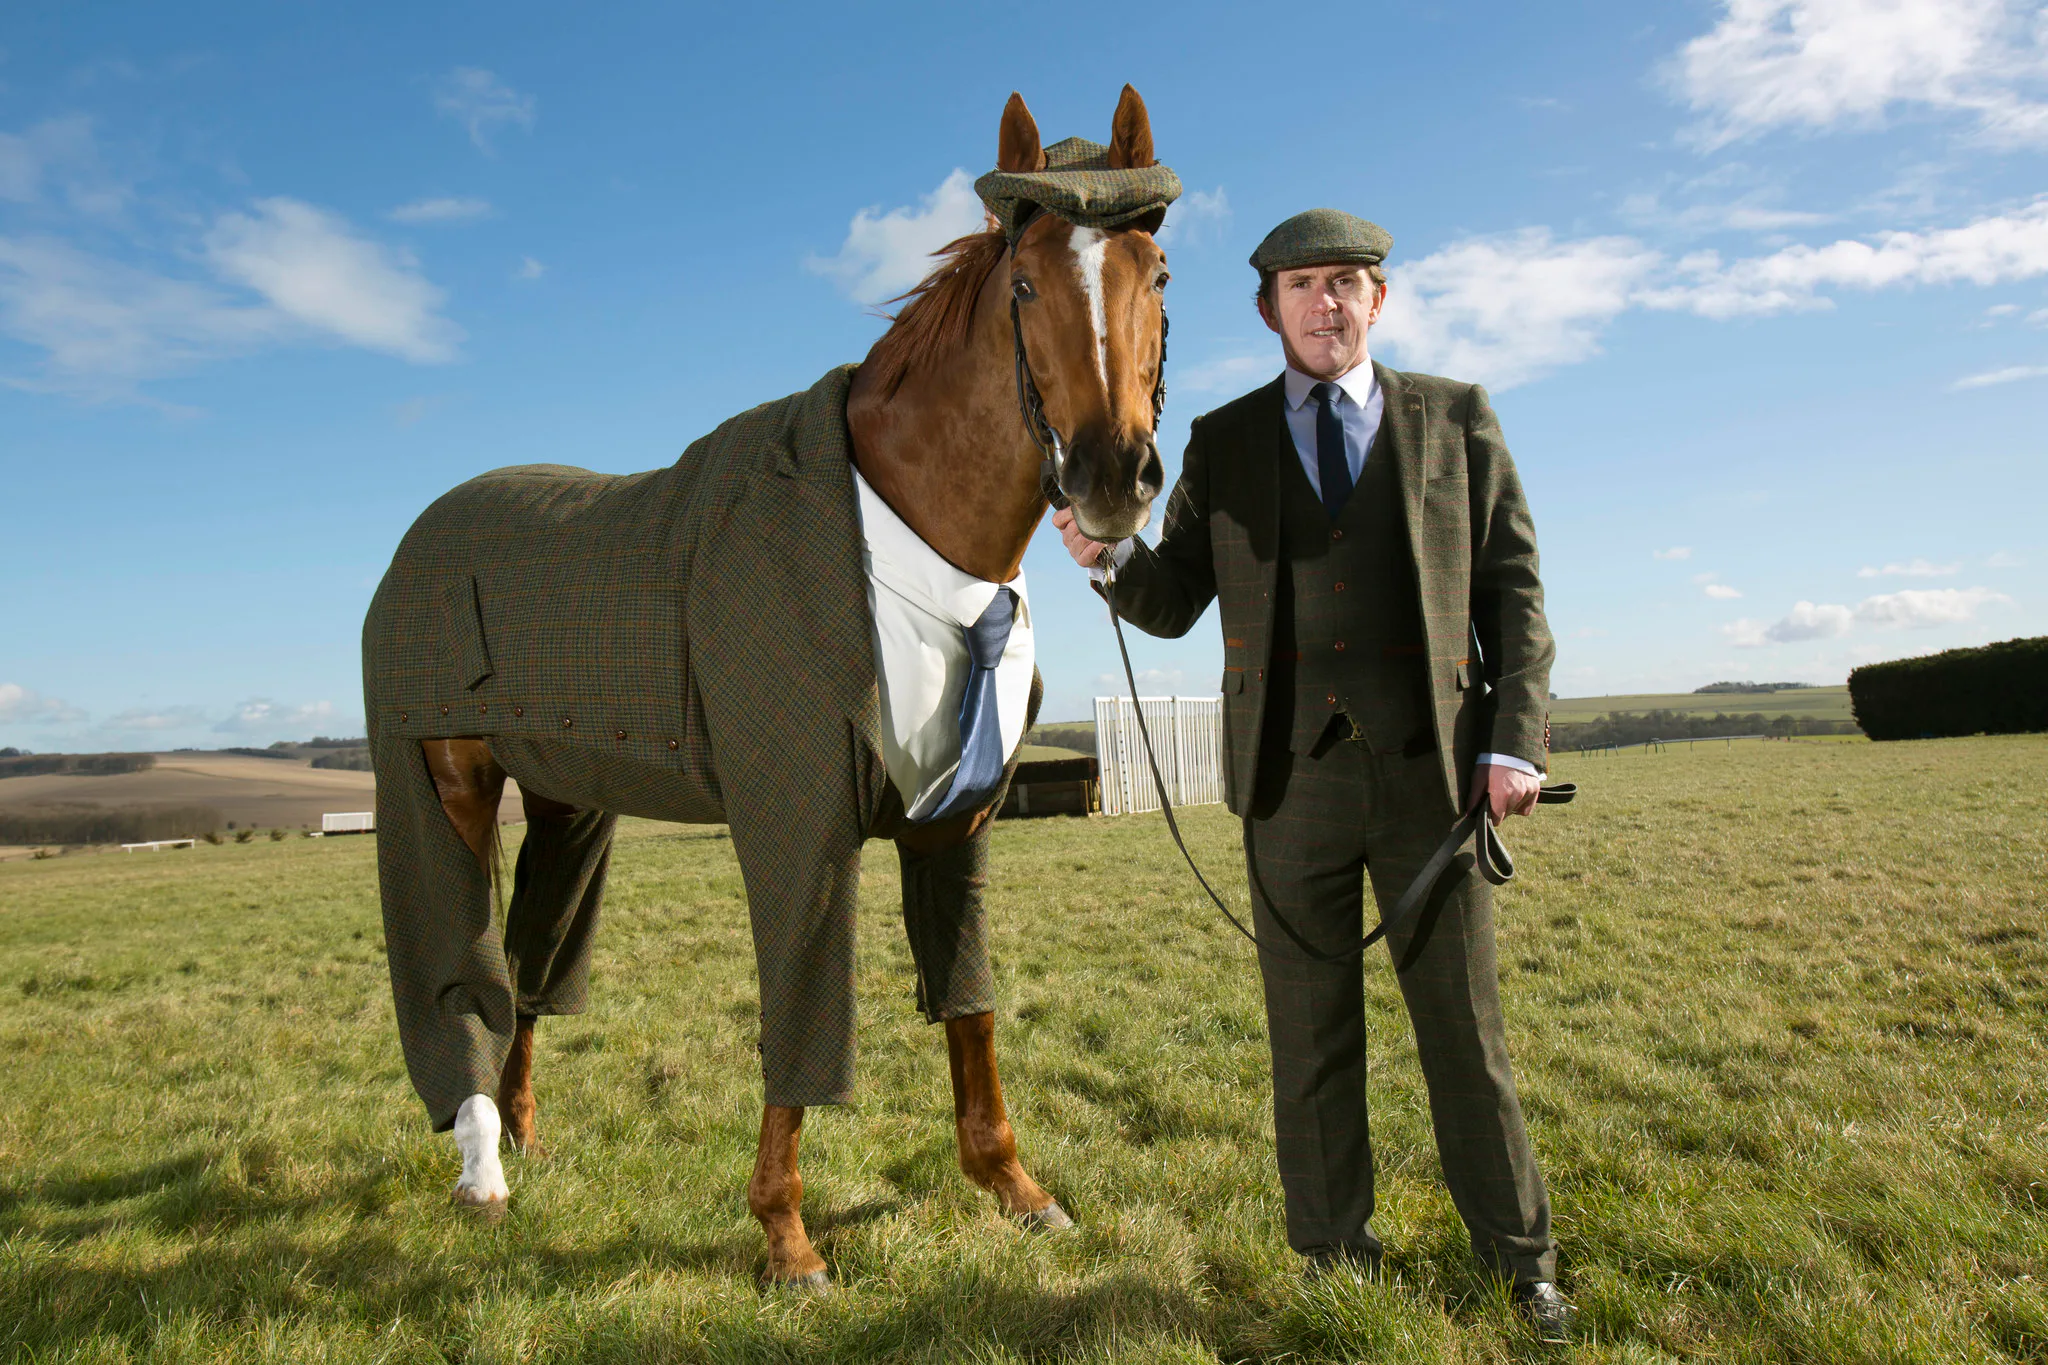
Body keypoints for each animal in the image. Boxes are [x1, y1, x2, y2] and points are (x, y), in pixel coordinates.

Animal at [360, 85, 1172, 1289]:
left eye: (1154, 274)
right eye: (1026, 285)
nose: (1113, 475)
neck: (908, 536)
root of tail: (426, 529)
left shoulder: (954, 828)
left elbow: (969, 1010)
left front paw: (1016, 1191)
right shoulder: (802, 825)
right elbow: (800, 1014)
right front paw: (787, 1236)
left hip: (566, 805)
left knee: (531, 965)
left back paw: (523, 1134)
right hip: (439, 787)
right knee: (459, 972)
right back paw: (480, 1169)